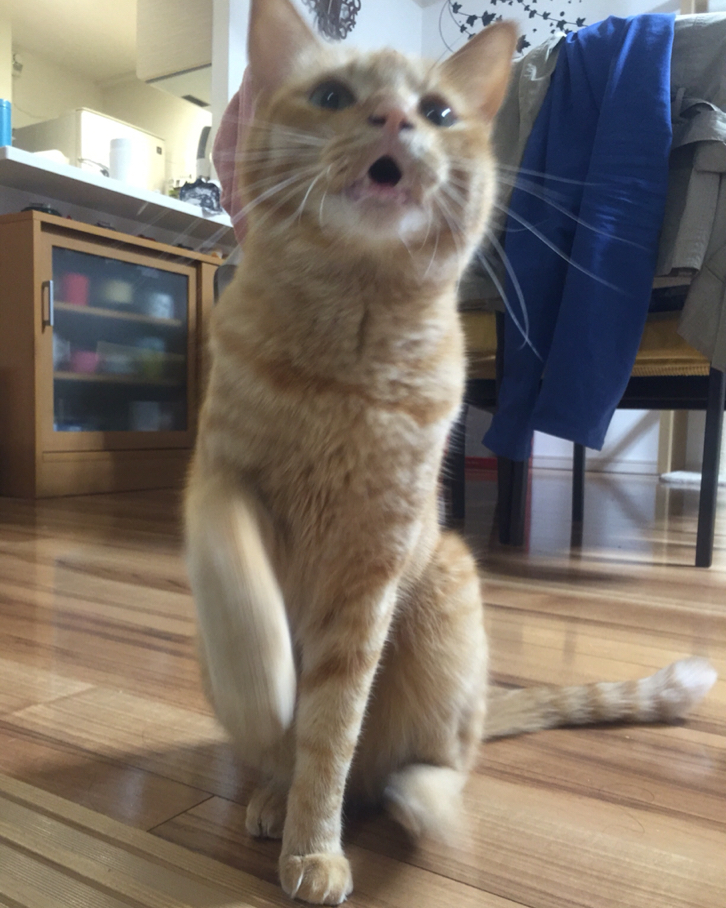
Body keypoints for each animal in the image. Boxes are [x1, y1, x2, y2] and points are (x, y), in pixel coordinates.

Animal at [184, 0, 717, 903]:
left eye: (435, 112)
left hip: (443, 589)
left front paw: (314, 846)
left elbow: (332, 728)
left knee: (422, 764)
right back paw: (269, 791)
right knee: (314, 760)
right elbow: (247, 595)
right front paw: (265, 695)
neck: (346, 349)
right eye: (333, 95)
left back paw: (414, 800)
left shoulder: (374, 562)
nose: (394, 119)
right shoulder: (217, 483)